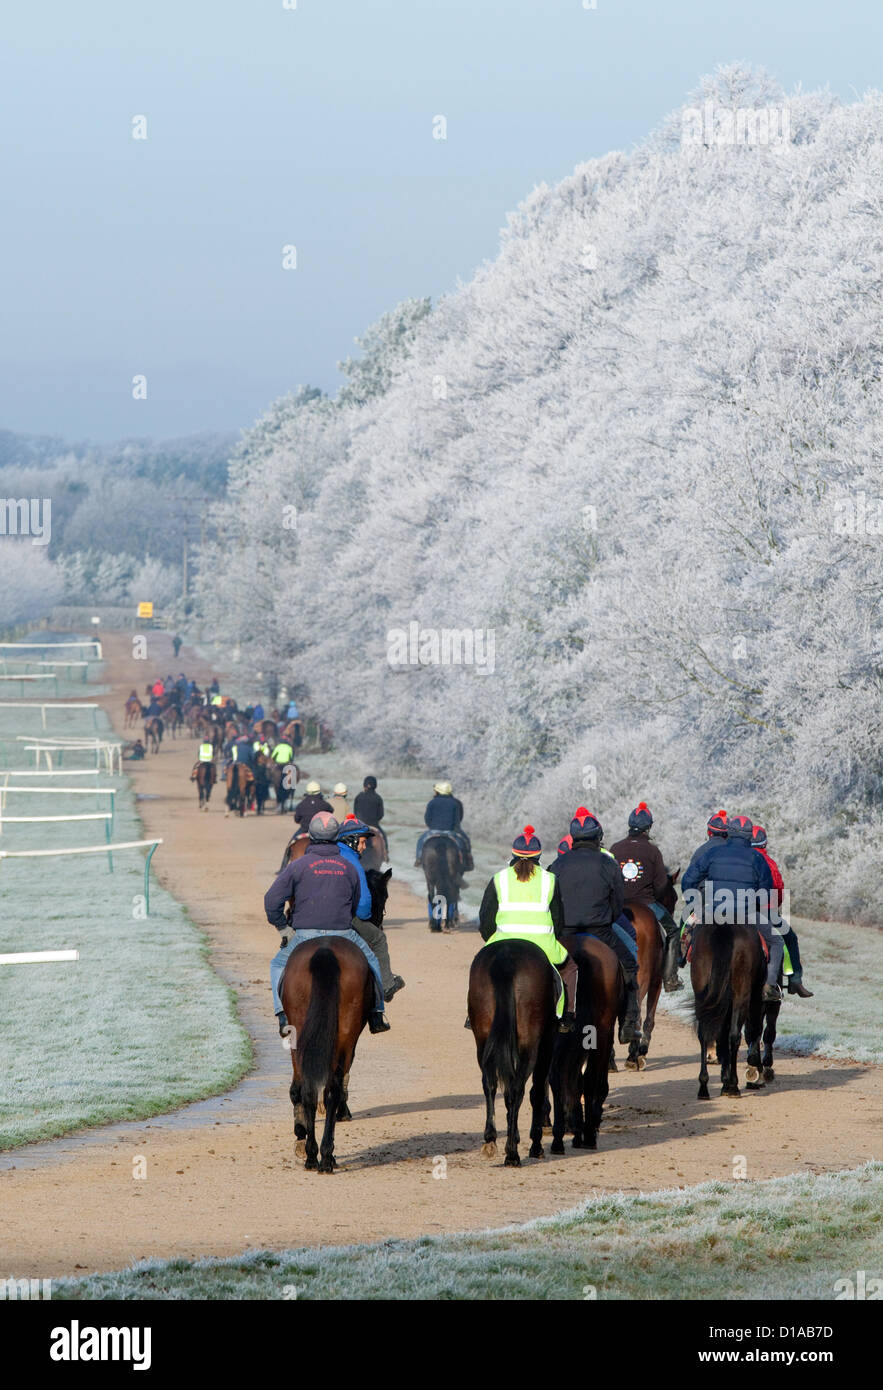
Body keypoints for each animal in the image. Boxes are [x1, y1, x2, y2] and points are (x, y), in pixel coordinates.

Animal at [283, 934, 372, 1173]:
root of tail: (325, 951)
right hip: (345, 1037)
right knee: (332, 1091)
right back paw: (325, 1156)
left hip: (300, 1031)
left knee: (308, 1091)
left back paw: (312, 1156)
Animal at [467, 939, 556, 1167]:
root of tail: (505, 958)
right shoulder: (546, 1045)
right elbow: (536, 1091)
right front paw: (535, 1145)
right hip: (530, 1044)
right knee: (518, 1089)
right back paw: (513, 1154)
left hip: (483, 1040)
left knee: (489, 1083)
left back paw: (491, 1139)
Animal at [689, 922, 767, 1095]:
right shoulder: (756, 997)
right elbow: (753, 1031)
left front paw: (724, 1080)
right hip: (742, 994)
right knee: (735, 1035)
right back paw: (733, 1085)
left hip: (703, 993)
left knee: (704, 1034)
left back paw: (704, 1086)